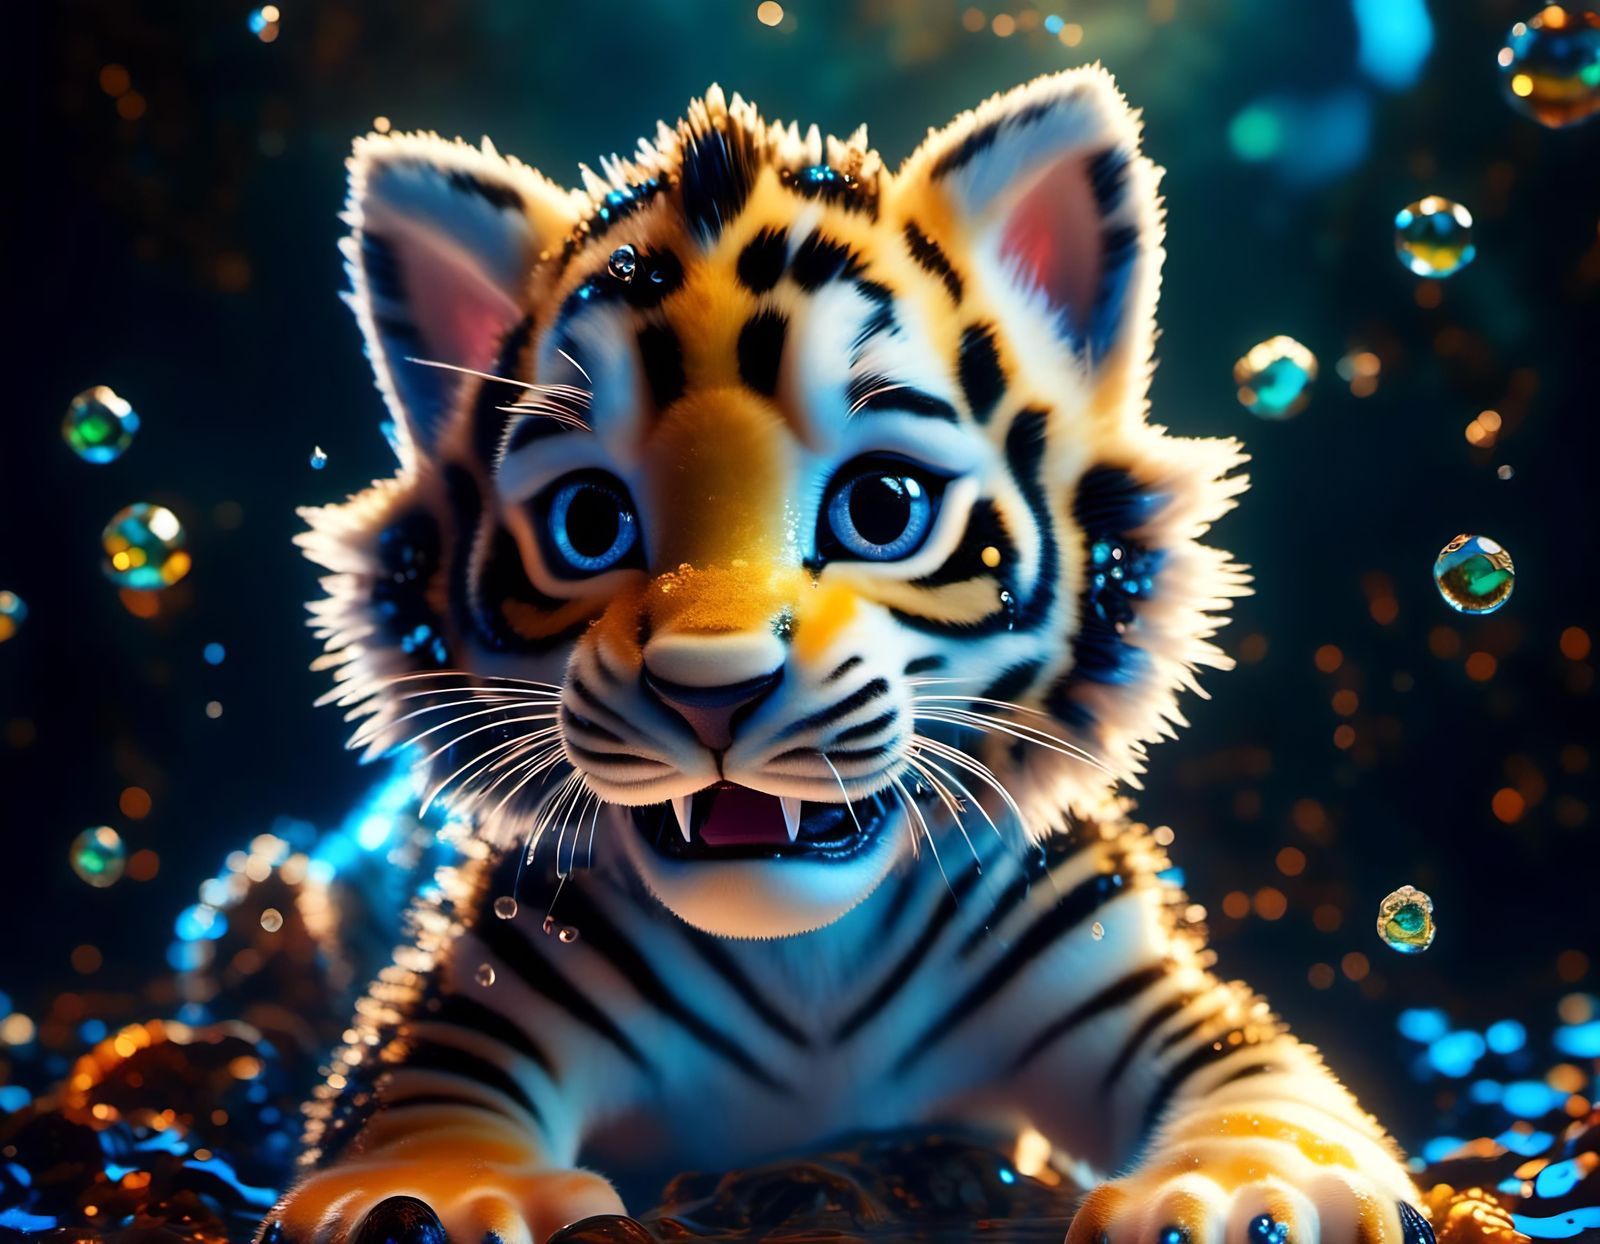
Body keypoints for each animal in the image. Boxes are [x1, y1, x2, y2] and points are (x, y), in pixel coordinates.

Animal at [268, 67, 1439, 1244]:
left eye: (880, 507)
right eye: (589, 523)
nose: (709, 690)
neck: (807, 966)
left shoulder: (1117, 969)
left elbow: (1259, 1072)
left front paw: (1255, 1188)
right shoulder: (497, 969)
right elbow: (418, 1086)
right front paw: (428, 1194)